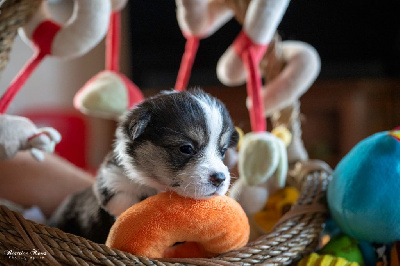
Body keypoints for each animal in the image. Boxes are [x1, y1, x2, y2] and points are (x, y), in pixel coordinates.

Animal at [48, 88, 239, 242]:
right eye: (186, 148)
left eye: (223, 151)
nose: (220, 179)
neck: (157, 187)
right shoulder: (110, 182)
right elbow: (125, 204)